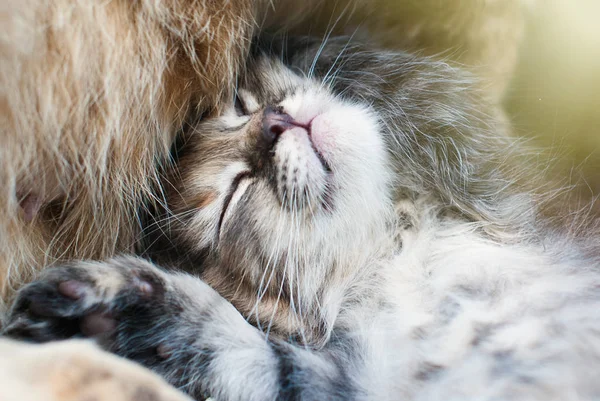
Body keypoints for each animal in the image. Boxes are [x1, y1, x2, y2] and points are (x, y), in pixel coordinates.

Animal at [4, 36, 600, 398]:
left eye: (241, 104)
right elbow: (245, 350)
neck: (404, 255)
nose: (274, 122)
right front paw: (109, 309)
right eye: (230, 199)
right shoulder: (360, 379)